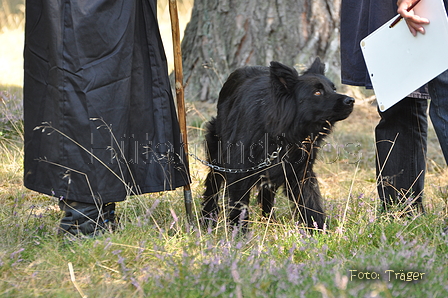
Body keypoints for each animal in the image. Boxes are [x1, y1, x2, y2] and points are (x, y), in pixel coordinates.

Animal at [202, 58, 354, 230]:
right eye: (317, 92)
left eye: (333, 89)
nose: (351, 101)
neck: (282, 135)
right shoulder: (239, 173)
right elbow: (239, 208)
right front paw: (239, 233)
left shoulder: (300, 173)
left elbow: (311, 205)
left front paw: (319, 231)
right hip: (217, 155)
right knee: (212, 184)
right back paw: (207, 218)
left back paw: (270, 222)